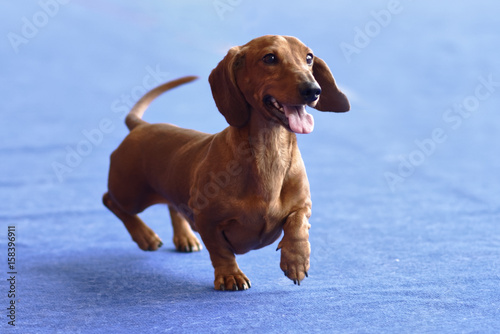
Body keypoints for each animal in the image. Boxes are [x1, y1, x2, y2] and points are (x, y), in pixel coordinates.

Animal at [103, 34, 350, 290]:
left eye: (309, 58)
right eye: (270, 58)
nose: (313, 90)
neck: (268, 153)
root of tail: (140, 126)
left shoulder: (303, 206)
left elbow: (297, 224)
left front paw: (296, 260)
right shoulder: (208, 221)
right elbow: (221, 252)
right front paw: (230, 276)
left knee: (172, 206)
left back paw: (185, 237)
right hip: (131, 196)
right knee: (110, 201)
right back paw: (145, 236)